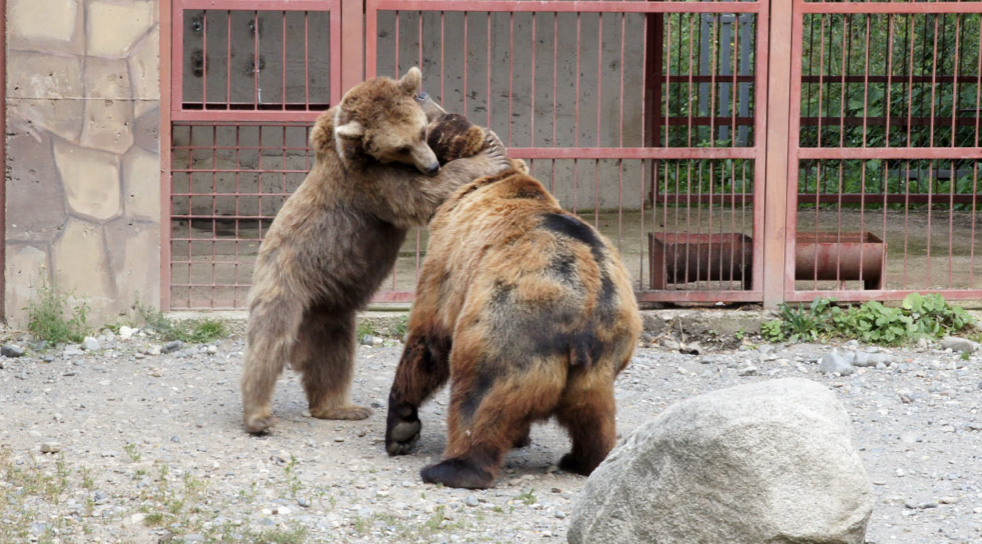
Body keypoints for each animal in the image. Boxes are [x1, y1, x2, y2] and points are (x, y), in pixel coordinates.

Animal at [241, 68, 512, 434]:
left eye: (421, 132)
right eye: (401, 145)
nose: (431, 166)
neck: (353, 151)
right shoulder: (372, 185)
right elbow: (423, 194)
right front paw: (489, 158)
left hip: (331, 309)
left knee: (334, 357)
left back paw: (341, 407)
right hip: (286, 279)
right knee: (269, 342)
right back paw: (259, 416)